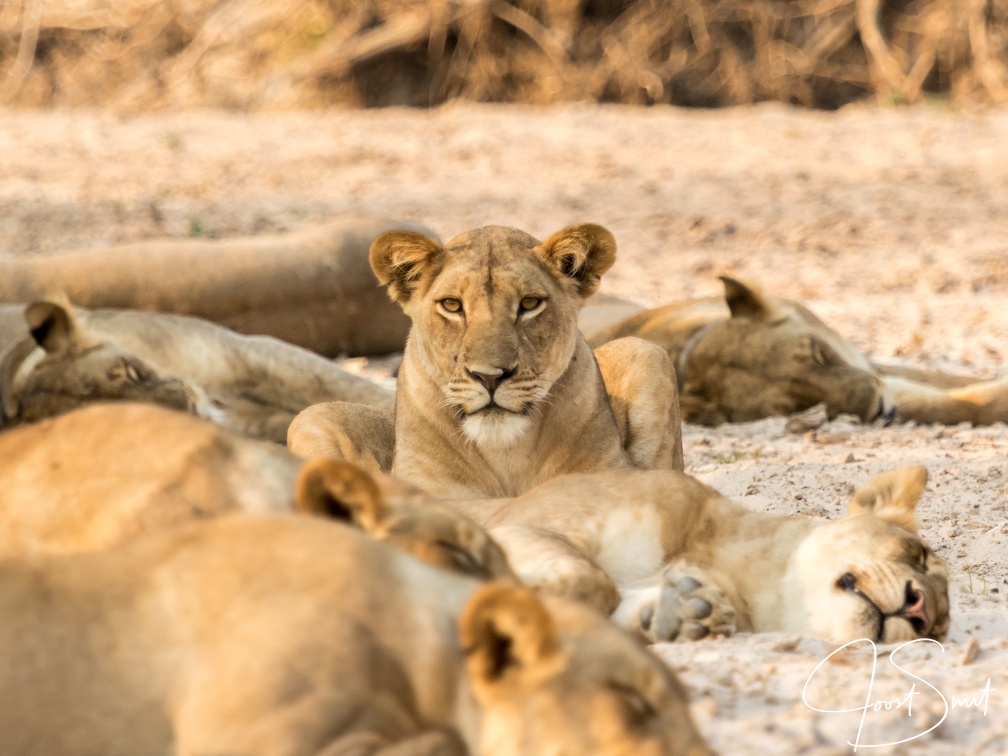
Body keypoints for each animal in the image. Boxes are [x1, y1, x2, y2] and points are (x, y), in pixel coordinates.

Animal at [290, 223, 683, 497]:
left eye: (529, 304)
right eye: (452, 305)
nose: (490, 377)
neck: (506, 452)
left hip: (646, 351)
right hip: (310, 419)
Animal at [444, 465, 949, 646]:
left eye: (937, 633)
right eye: (921, 556)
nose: (922, 611)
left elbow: (611, 602)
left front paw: (683, 617)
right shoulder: (520, 523)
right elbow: (591, 577)